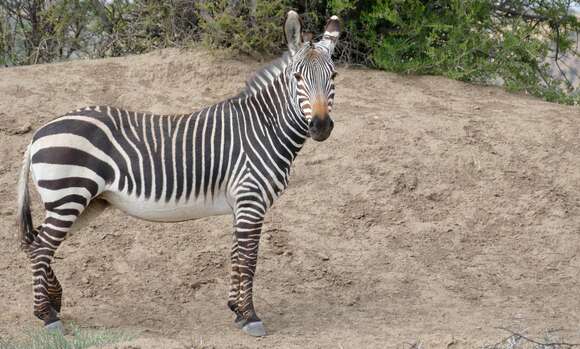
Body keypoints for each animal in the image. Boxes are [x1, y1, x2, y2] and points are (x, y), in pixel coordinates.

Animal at [14, 11, 340, 338]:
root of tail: (38, 133)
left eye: (334, 77)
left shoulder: (241, 203)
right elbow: (248, 258)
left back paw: (54, 302)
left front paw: (236, 310)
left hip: (85, 202)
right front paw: (250, 316)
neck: (264, 127)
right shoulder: (251, 199)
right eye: (297, 77)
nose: (321, 127)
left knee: (36, 243)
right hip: (68, 196)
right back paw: (46, 315)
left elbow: (236, 255)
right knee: (41, 247)